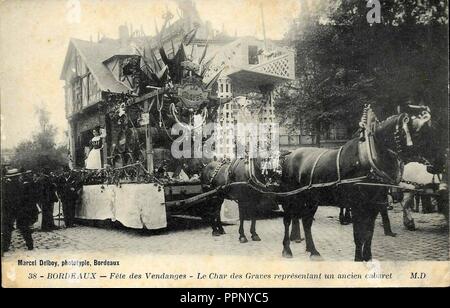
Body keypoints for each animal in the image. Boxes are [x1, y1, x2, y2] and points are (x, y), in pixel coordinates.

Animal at [280, 105, 442, 260]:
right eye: (419, 133)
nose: (438, 165)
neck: (368, 161)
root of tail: (289, 156)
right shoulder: (357, 206)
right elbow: (358, 235)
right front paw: (358, 258)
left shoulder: (374, 205)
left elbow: (369, 233)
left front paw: (367, 257)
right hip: (291, 197)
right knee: (287, 220)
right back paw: (287, 250)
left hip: (312, 199)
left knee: (306, 222)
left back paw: (313, 251)